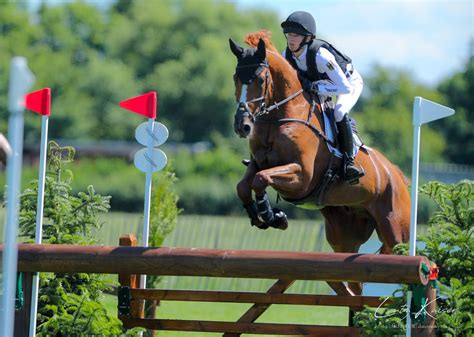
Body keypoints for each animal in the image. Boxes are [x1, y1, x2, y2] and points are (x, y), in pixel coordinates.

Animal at [228, 30, 410, 294]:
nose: (242, 126)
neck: (280, 117)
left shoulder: (301, 177)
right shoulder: (258, 163)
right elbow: (244, 185)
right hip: (343, 235)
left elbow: (261, 180)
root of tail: (396, 174)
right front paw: (261, 215)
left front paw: (271, 215)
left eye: (260, 80)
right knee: (355, 280)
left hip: (396, 229)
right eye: (236, 78)